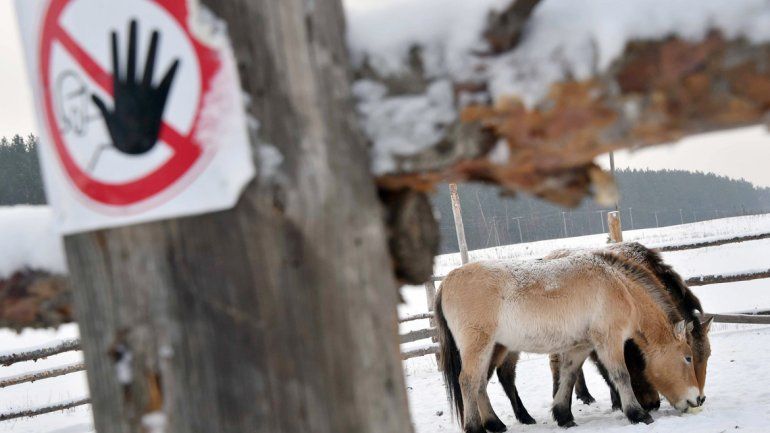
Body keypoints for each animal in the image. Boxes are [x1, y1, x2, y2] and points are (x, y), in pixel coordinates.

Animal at [435, 253, 701, 432]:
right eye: (687, 358)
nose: (698, 399)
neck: (619, 287)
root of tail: (447, 281)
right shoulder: (609, 340)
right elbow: (621, 375)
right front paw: (638, 414)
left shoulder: (580, 346)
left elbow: (569, 376)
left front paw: (563, 416)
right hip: (478, 347)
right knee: (468, 381)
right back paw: (476, 428)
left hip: (491, 348)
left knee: (480, 383)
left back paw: (495, 423)